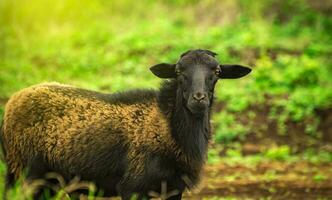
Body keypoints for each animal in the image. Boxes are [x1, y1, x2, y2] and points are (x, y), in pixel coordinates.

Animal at [0, 48, 249, 200]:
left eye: (217, 71)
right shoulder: (132, 186)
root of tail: (14, 100)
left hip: (50, 181)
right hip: (23, 172)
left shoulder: (174, 188)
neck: (168, 127)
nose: (198, 98)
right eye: (179, 71)